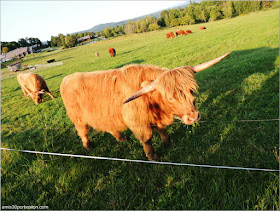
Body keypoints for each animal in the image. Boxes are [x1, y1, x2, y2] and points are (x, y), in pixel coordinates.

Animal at [60, 51, 232, 160]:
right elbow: (147, 138)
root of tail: (66, 78)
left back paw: (121, 138)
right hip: (78, 118)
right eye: (170, 97)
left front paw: (169, 142)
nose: (194, 117)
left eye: (191, 90)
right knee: (83, 132)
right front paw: (152, 156)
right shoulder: (138, 121)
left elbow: (162, 130)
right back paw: (88, 147)